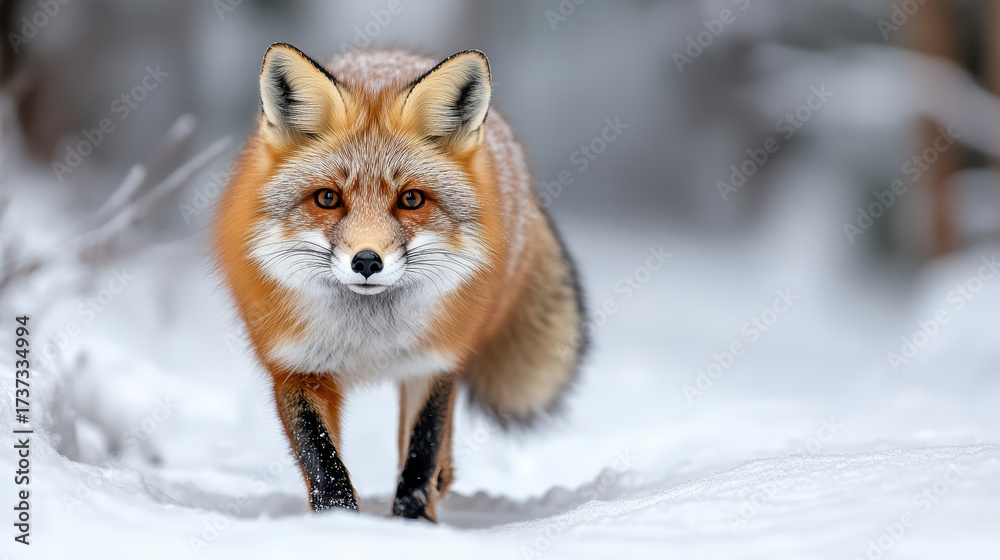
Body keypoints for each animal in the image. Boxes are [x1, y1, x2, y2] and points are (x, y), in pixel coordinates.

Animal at [212, 43, 587, 521]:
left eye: (411, 199)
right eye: (327, 198)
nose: (366, 261)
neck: (368, 341)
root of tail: (390, 52)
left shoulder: (434, 361)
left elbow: (422, 447)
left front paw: (412, 521)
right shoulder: (295, 366)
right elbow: (322, 459)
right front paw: (338, 522)